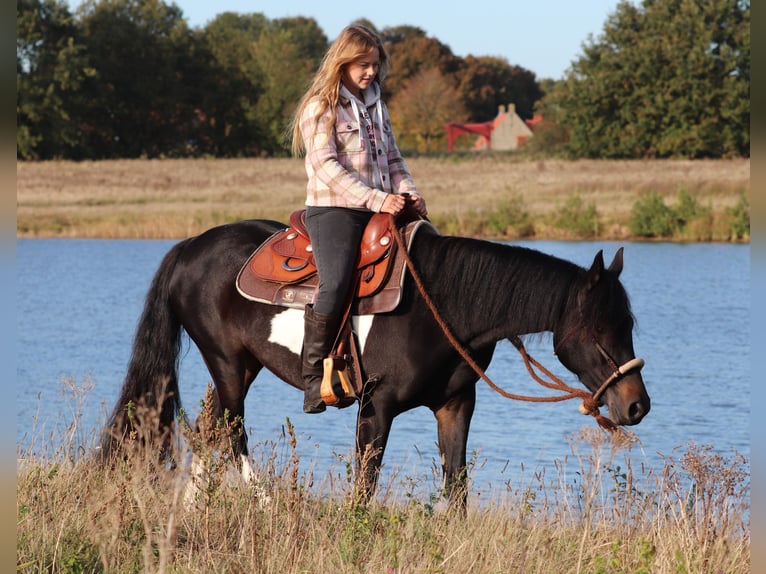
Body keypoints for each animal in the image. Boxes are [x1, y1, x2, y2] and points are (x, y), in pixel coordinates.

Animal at [102, 219, 652, 508]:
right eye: (599, 330)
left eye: (629, 323)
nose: (637, 406)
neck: (443, 307)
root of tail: (187, 247)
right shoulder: (376, 409)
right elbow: (365, 487)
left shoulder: (456, 406)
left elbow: (456, 485)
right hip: (228, 364)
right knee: (233, 434)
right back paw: (266, 504)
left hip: (241, 368)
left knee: (208, 431)